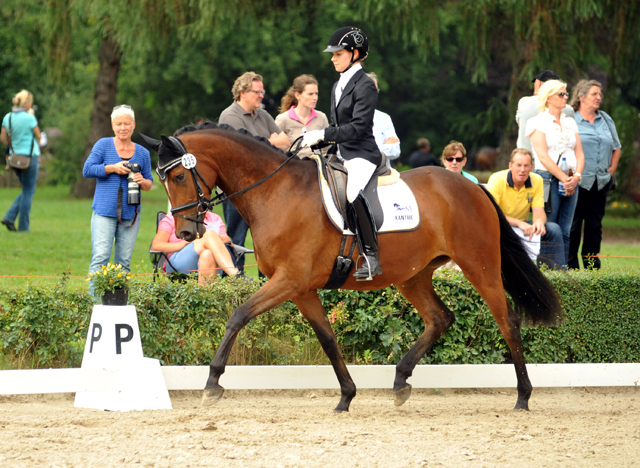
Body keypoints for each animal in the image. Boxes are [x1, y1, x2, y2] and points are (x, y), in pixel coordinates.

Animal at [144, 121, 560, 414]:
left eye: (179, 176)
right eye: (164, 180)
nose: (185, 231)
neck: (275, 192)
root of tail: (474, 187)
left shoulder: (288, 280)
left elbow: (238, 315)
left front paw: (212, 384)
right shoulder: (301, 288)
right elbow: (328, 339)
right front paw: (346, 396)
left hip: (479, 264)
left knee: (508, 321)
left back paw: (523, 396)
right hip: (413, 276)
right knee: (440, 318)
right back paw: (400, 382)